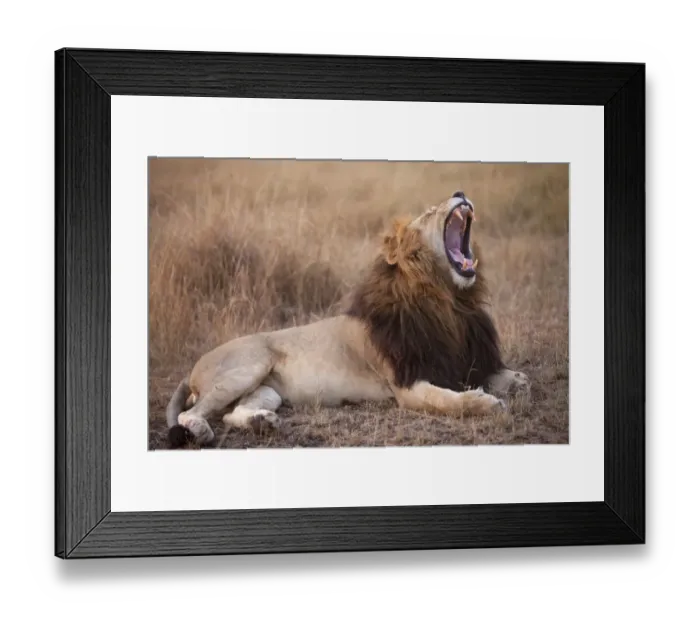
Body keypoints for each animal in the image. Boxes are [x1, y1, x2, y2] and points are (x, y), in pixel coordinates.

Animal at [165, 190, 530, 448]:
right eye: (429, 213)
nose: (460, 192)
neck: (450, 302)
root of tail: (193, 369)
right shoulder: (407, 384)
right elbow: (448, 401)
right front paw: (484, 402)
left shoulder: (462, 360)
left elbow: (512, 379)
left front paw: (515, 381)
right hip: (248, 366)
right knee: (189, 413)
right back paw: (202, 430)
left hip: (267, 390)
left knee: (232, 413)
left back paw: (262, 423)